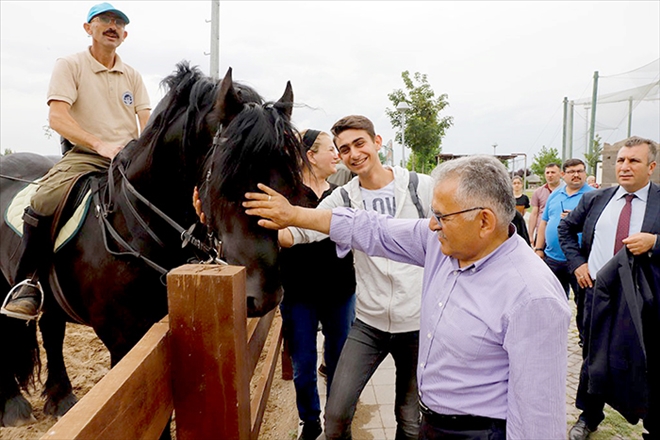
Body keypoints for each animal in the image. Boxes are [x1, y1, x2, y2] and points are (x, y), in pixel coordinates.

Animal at [0, 63, 304, 428]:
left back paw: (61, 399)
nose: (266, 296)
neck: (132, 226)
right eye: (226, 178)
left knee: (52, 328)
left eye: (287, 183)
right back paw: (13, 405)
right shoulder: (125, 341)